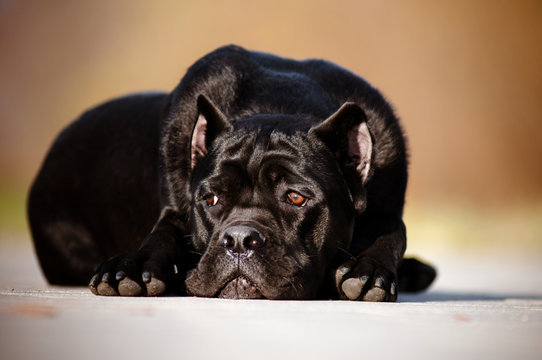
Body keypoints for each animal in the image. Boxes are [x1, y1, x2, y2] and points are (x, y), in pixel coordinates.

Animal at [28, 45, 438, 300]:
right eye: (210, 199)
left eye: (296, 197)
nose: (239, 240)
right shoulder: (176, 209)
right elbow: (164, 231)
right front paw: (131, 267)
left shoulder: (386, 204)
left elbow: (393, 230)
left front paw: (369, 269)